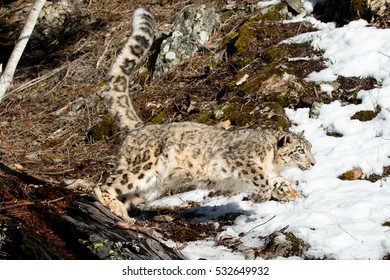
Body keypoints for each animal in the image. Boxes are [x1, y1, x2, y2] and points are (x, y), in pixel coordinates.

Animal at [94, 7, 316, 225]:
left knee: (128, 194)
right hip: (142, 167)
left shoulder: (270, 172)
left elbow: (277, 180)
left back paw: (123, 212)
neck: (274, 163)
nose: (313, 163)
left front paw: (289, 190)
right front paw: (260, 195)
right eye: (300, 151)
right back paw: (114, 206)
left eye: (310, 149)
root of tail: (141, 127)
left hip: (151, 187)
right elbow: (260, 179)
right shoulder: (241, 159)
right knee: (106, 185)